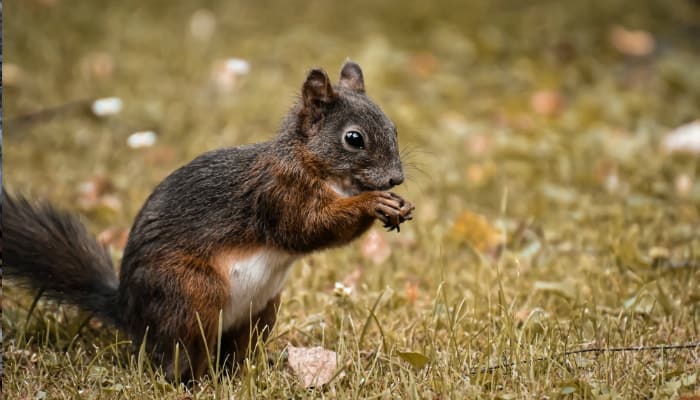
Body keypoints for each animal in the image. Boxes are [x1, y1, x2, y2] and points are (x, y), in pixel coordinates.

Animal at [1, 61, 416, 382]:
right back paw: (194, 382)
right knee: (180, 358)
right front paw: (373, 203)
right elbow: (309, 228)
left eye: (394, 128)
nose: (396, 178)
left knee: (232, 353)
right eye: (353, 138)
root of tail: (130, 312)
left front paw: (398, 205)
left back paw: (247, 373)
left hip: (262, 311)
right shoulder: (278, 194)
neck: (311, 163)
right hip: (192, 294)